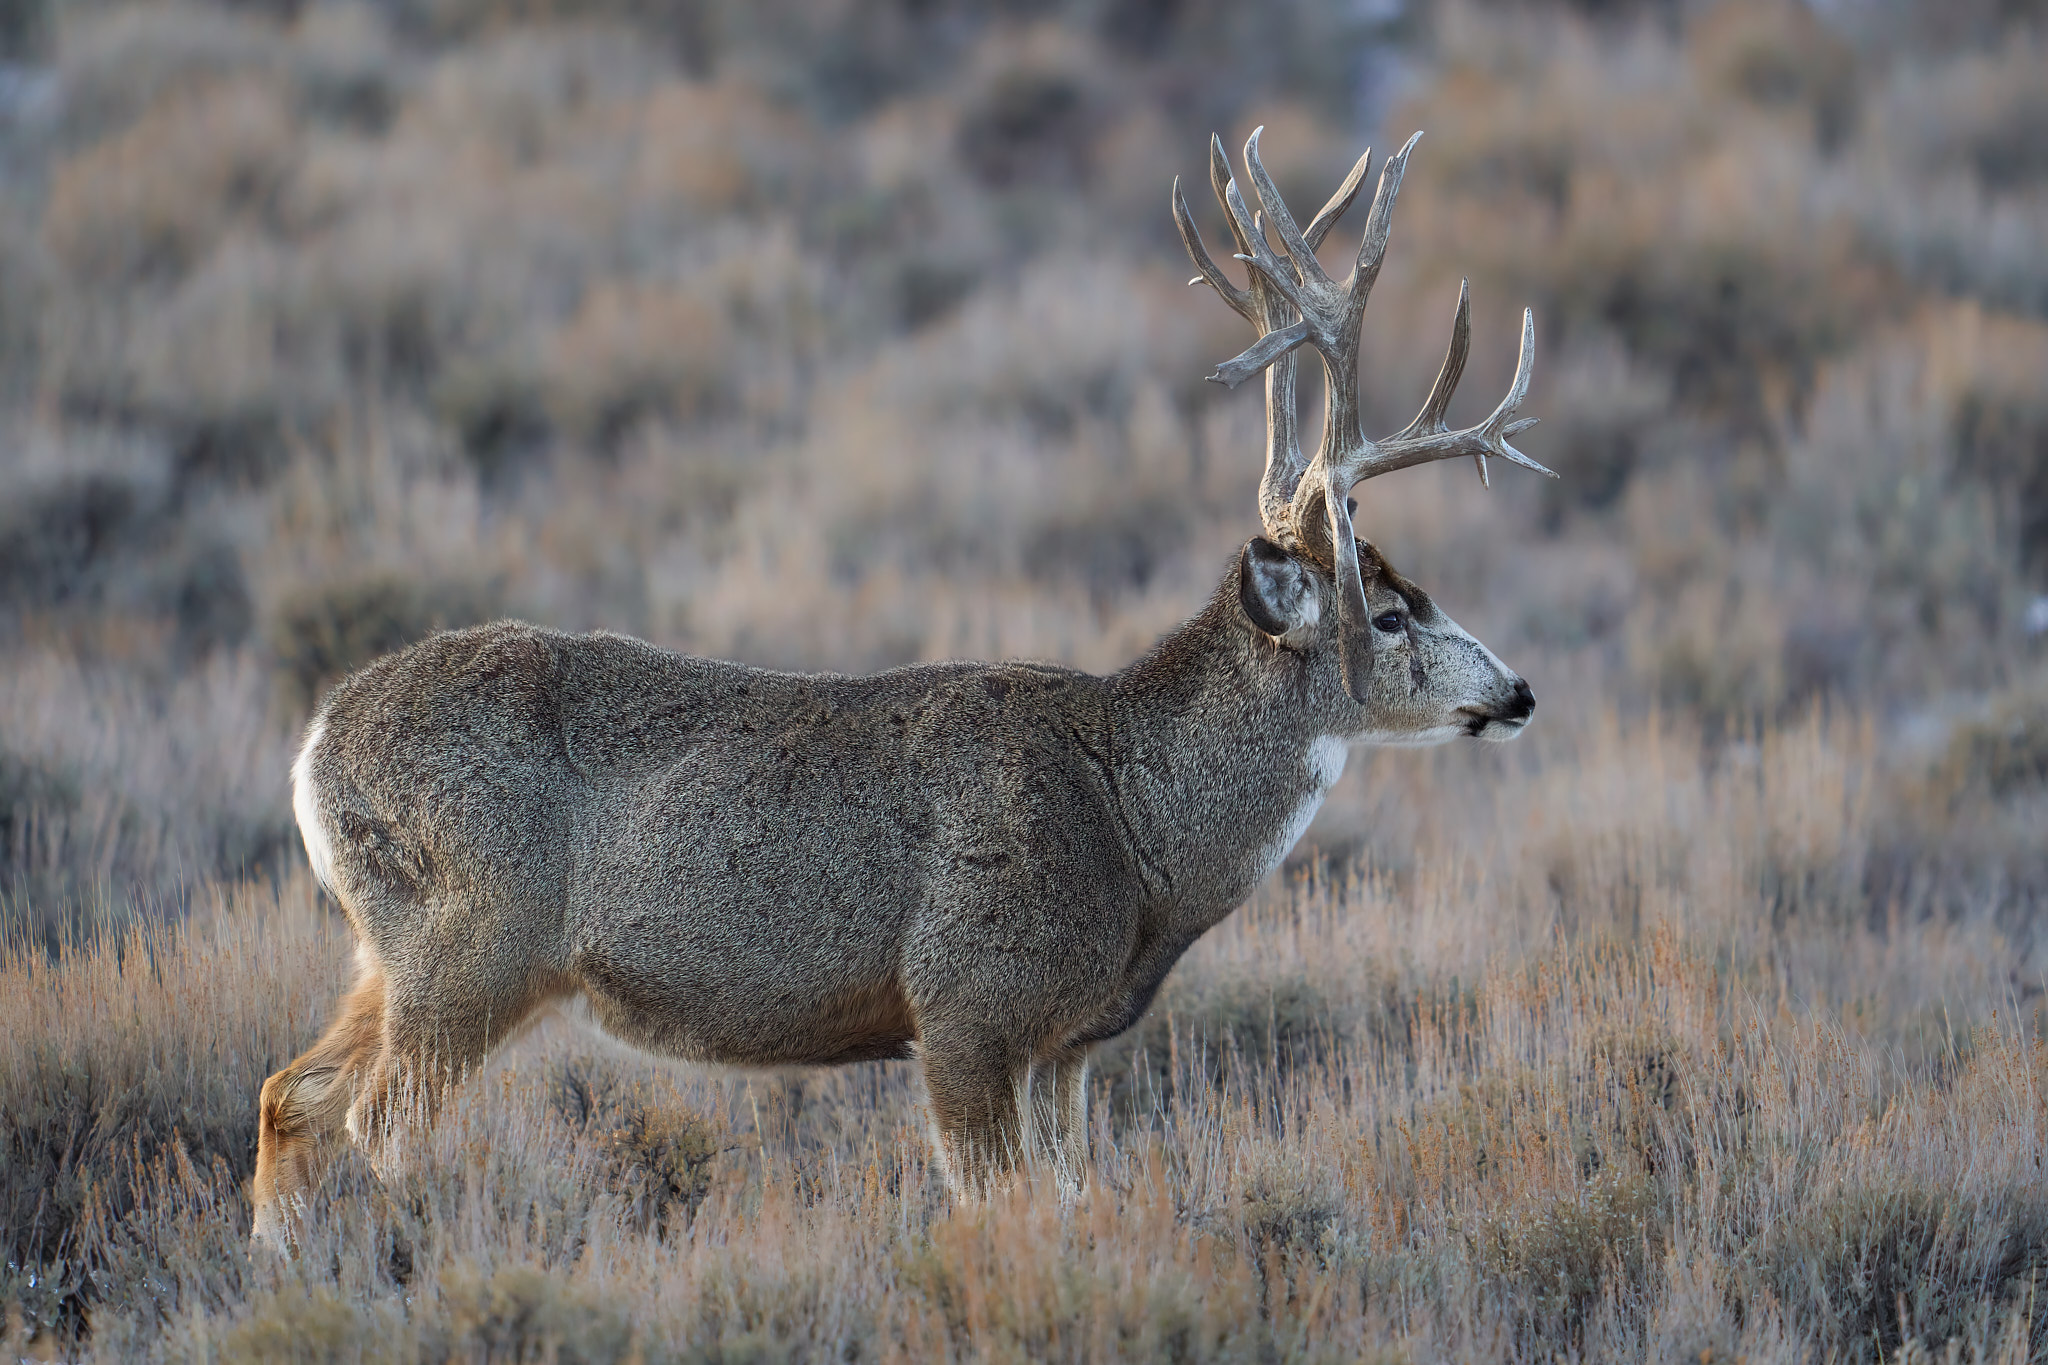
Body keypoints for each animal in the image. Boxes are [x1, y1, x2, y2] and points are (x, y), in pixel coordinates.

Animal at [250, 128, 1553, 1251]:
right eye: (1389, 613)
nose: (1518, 691)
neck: (1136, 831)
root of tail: (312, 748)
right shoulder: (966, 1004)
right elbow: (1000, 1209)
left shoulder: (1066, 1045)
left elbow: (1069, 1201)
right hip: (472, 936)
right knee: (378, 1123)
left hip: (394, 949)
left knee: (287, 1094)